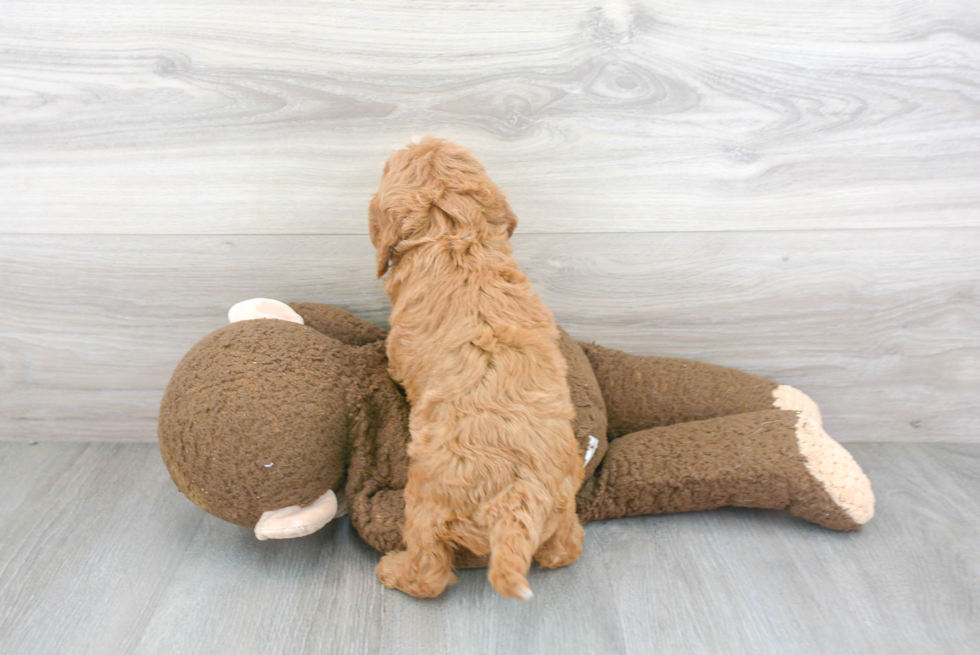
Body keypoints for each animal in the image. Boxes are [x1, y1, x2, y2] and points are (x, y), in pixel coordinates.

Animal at [366, 137, 580, 600]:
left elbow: (393, 361)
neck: (455, 235)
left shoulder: (399, 344)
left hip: (425, 501)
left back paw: (394, 571)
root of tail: (515, 501)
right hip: (564, 502)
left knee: (429, 572)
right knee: (566, 548)